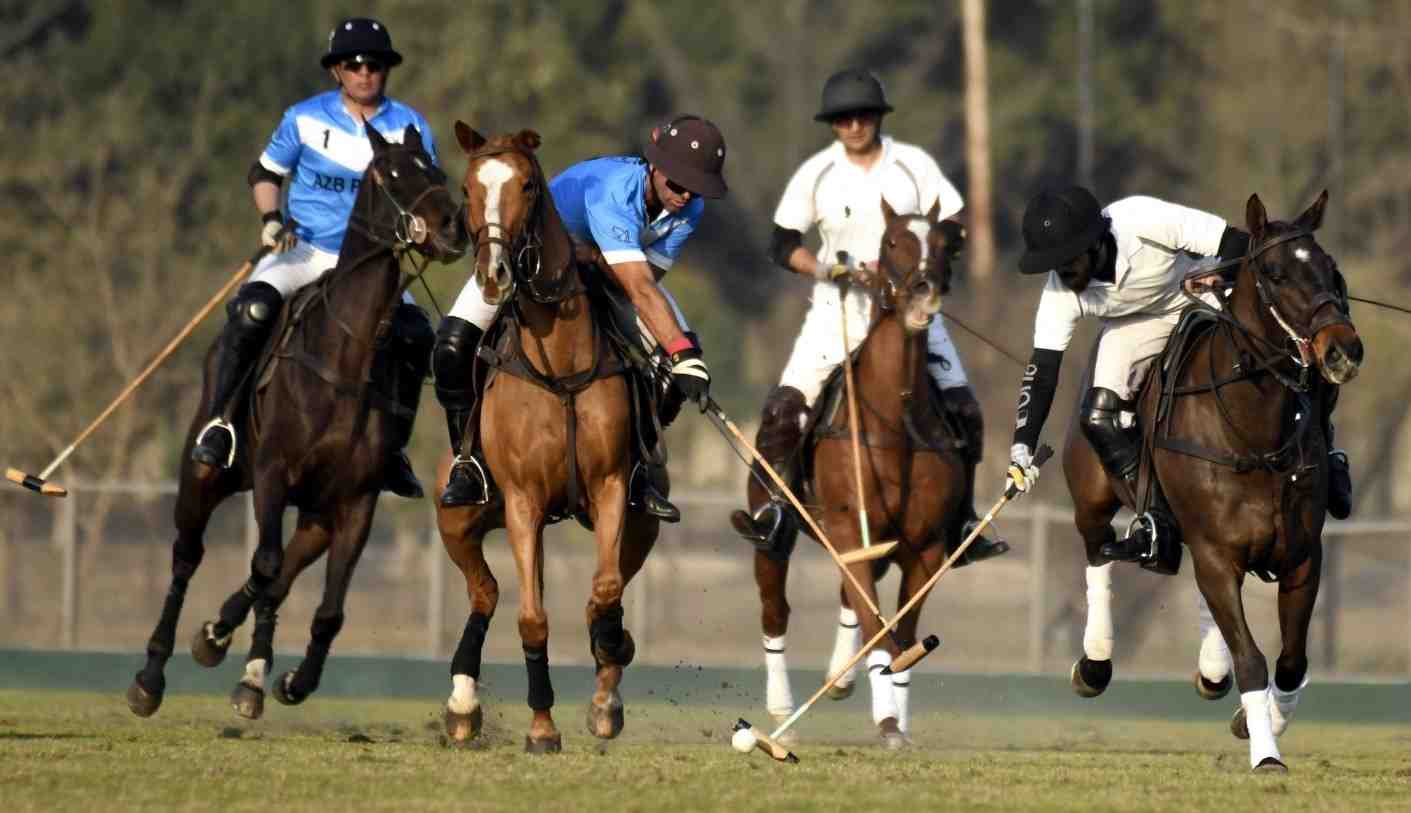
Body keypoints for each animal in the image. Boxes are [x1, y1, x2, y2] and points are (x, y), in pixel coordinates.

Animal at [127, 125, 468, 717]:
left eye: (437, 170)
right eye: (392, 173)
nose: (454, 225)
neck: (345, 356)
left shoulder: (356, 500)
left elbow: (325, 603)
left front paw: (291, 679)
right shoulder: (272, 474)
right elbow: (264, 564)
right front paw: (252, 677)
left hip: (317, 513)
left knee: (281, 570)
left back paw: (216, 634)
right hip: (206, 474)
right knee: (189, 556)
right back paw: (152, 674)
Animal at [431, 124, 663, 750]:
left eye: (528, 186)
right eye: (466, 188)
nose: (494, 276)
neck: (558, 367)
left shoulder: (611, 489)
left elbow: (604, 592)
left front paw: (609, 664)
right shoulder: (522, 502)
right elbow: (532, 618)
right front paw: (541, 725)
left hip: (642, 525)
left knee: (606, 587)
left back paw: (608, 685)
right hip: (459, 517)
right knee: (485, 593)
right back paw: (462, 705)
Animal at [733, 200, 965, 745]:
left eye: (945, 243)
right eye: (893, 241)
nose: (924, 293)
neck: (894, 422)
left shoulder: (927, 547)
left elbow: (901, 630)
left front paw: (894, 718)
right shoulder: (845, 527)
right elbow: (879, 627)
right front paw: (887, 720)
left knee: (853, 597)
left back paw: (841, 678)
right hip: (772, 532)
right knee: (776, 610)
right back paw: (782, 715)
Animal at [1061, 191, 1360, 773]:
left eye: (1332, 269)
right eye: (1274, 273)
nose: (1343, 351)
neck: (1254, 429)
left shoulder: (1302, 555)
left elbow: (1291, 662)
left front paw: (1258, 721)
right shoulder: (1217, 553)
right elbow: (1252, 659)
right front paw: (1267, 756)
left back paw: (1210, 669)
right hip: (1092, 493)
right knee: (1097, 549)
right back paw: (1095, 662)